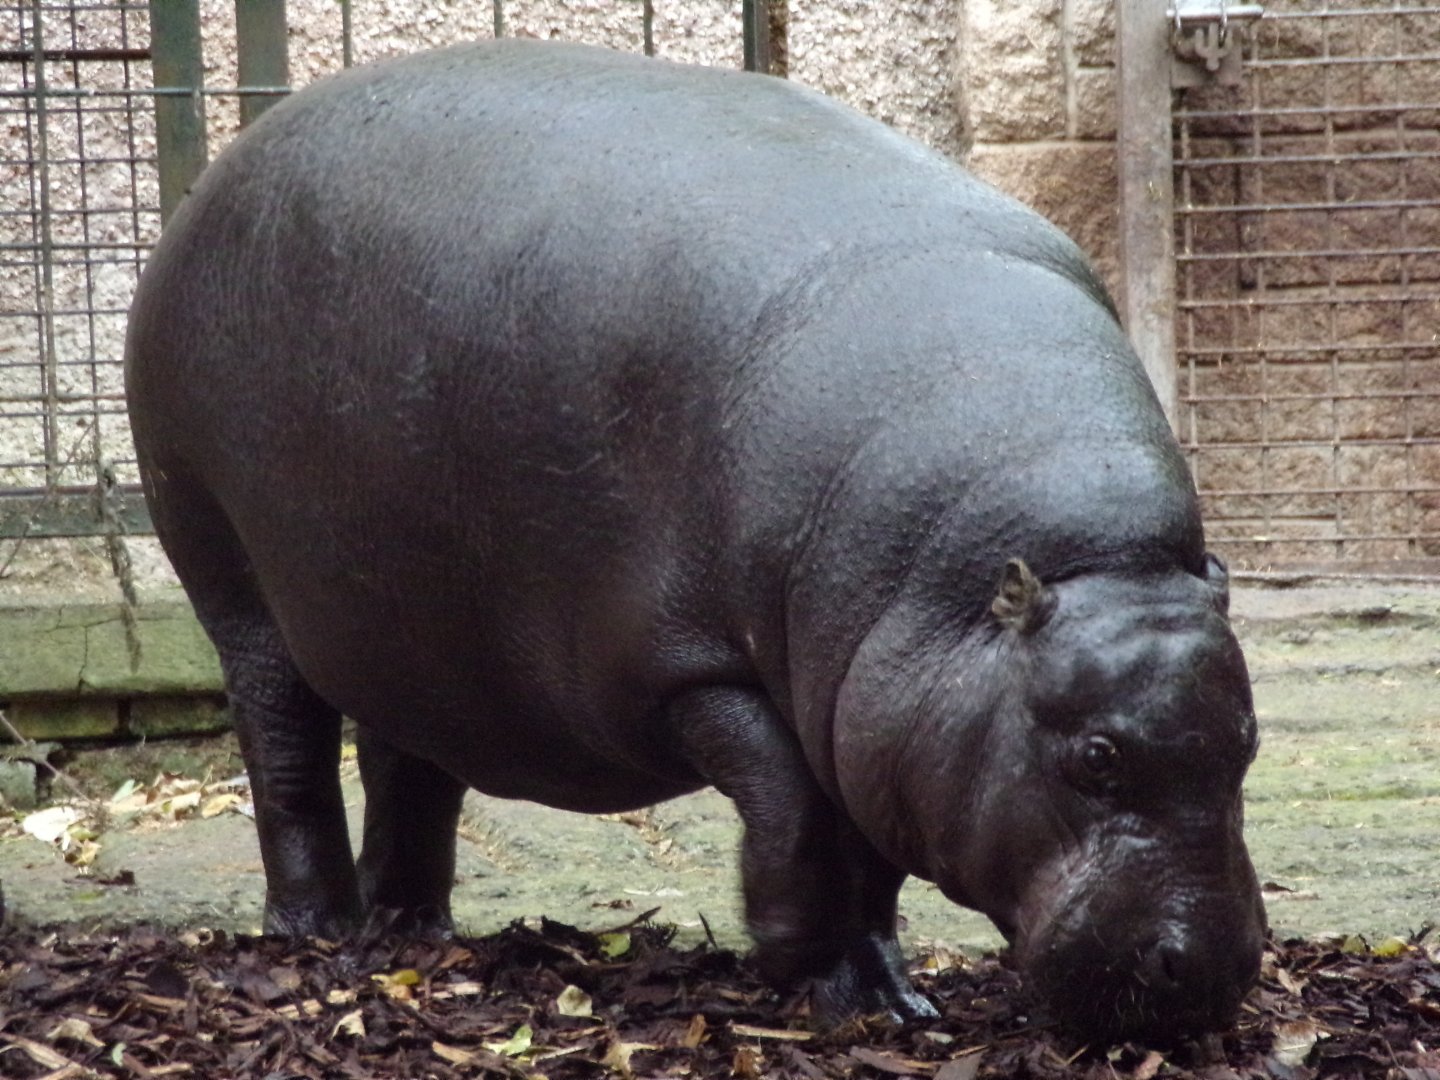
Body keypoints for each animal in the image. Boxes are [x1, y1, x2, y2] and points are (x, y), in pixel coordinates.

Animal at [125, 39, 1265, 1038]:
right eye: (1096, 757)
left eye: (1248, 743)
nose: (1208, 968)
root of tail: (225, 165)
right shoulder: (696, 672)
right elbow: (797, 822)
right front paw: (809, 972)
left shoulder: (865, 706)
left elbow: (867, 853)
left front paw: (893, 998)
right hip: (228, 569)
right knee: (285, 750)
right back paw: (317, 932)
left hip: (407, 622)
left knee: (411, 761)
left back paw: (413, 929)